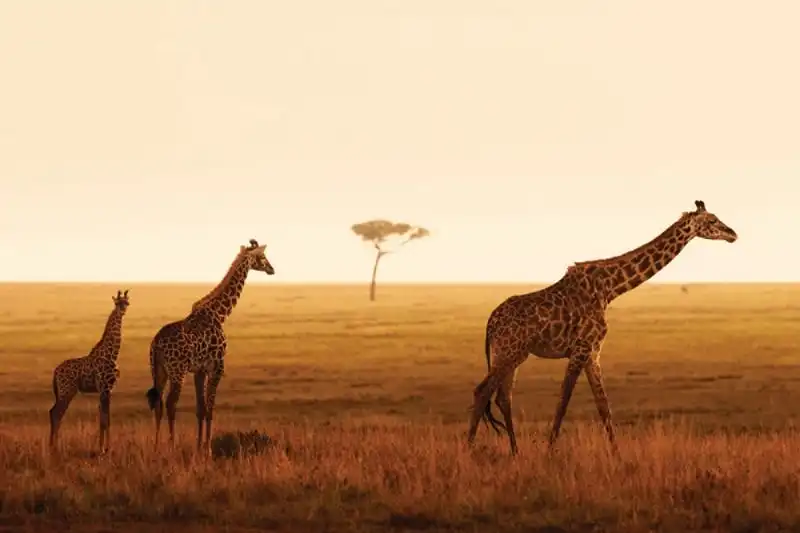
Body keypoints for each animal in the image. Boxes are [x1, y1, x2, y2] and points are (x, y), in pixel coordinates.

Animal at [49, 289, 130, 452]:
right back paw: (55, 448)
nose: (123, 311)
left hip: (65, 392)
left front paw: (106, 447)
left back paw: (52, 446)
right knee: (56, 413)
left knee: (54, 412)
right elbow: (104, 419)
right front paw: (103, 449)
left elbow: (106, 418)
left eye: (127, 303)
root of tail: (55, 372)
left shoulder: (109, 390)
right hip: (66, 391)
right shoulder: (104, 388)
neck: (112, 354)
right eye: (118, 303)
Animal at [145, 239, 275, 451]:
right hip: (177, 372)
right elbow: (210, 408)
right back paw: (172, 445)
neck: (219, 314)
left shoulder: (199, 370)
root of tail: (156, 344)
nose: (272, 269)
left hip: (158, 370)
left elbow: (201, 408)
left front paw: (199, 447)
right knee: (171, 403)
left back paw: (156, 447)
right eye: (262, 256)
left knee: (158, 403)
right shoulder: (217, 366)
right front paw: (208, 449)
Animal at [468, 200, 738, 455]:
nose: (733, 234)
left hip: (512, 355)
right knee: (482, 391)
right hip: (508, 352)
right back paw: (469, 449)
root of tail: (490, 323)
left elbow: (603, 406)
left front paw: (617, 455)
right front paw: (549, 452)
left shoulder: (593, 352)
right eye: (712, 220)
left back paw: (515, 452)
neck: (610, 289)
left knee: (503, 397)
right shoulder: (581, 348)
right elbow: (564, 400)